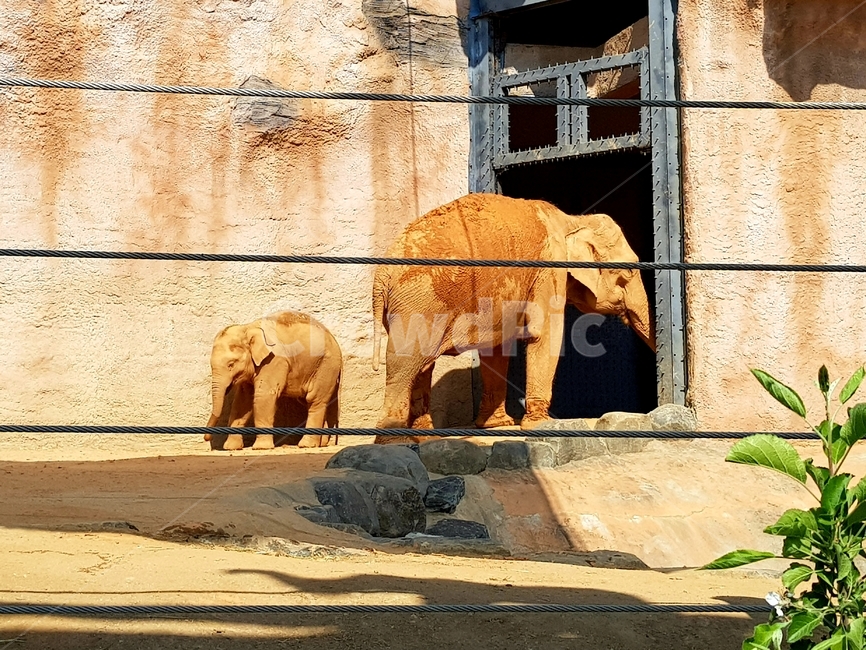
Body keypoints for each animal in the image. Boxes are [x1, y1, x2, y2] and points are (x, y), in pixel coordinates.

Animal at [205, 311, 342, 451]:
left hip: (327, 365)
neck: (247, 328)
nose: (206, 438)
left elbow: (263, 396)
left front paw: (261, 447)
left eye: (231, 364)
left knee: (314, 400)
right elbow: (242, 401)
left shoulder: (274, 360)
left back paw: (306, 445)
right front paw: (231, 448)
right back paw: (321, 443)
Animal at [370, 193, 655, 441]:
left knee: (421, 365)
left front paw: (498, 426)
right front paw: (541, 425)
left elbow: (496, 348)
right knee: (403, 362)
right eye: (628, 272)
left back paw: (424, 438)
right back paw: (393, 442)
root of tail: (381, 276)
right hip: (419, 300)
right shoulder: (549, 269)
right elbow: (546, 333)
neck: (571, 220)